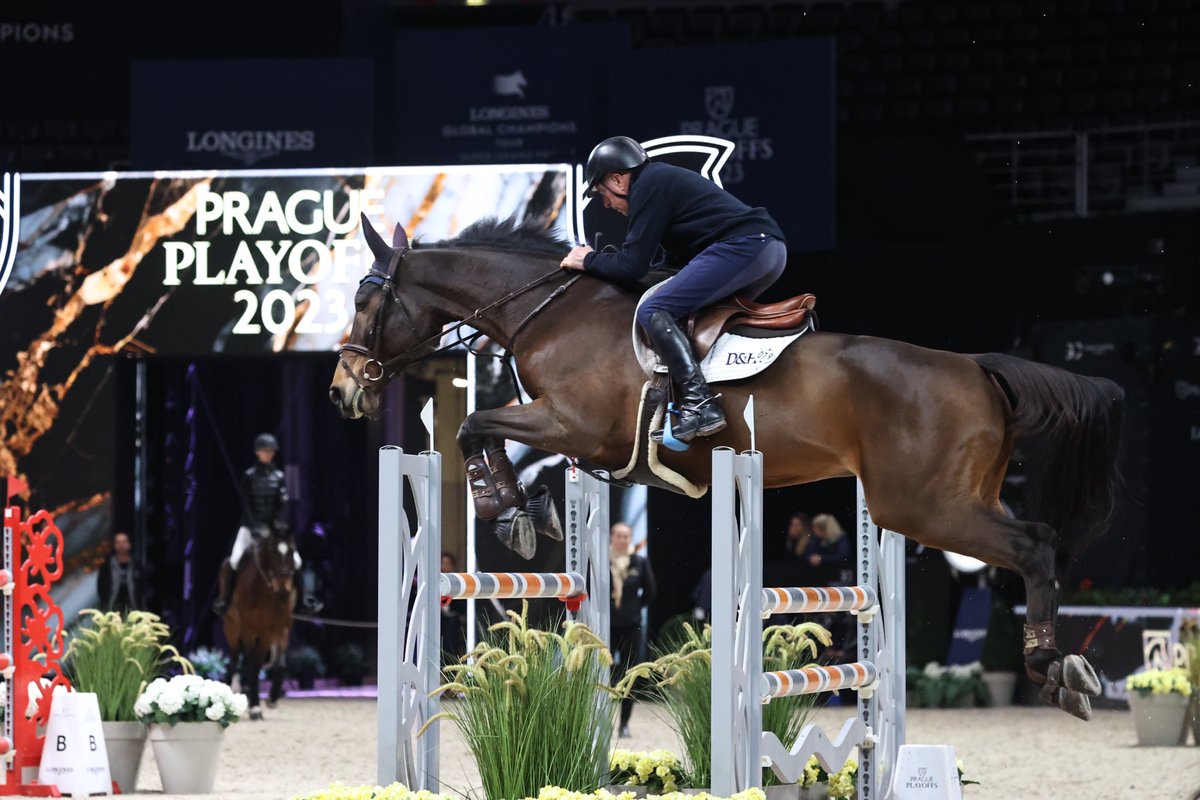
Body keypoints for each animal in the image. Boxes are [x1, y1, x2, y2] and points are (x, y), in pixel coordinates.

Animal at [222, 525, 296, 719]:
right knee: (234, 658)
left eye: (292, 552)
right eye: (272, 552)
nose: (283, 591)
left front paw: (272, 699)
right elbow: (251, 664)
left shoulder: (278, 630)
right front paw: (255, 707)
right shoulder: (250, 630)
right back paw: (233, 691)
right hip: (233, 629)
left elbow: (279, 665)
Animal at [331, 212, 1123, 719]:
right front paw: (533, 514)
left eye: (366, 297)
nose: (344, 389)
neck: (551, 311)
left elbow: (473, 424)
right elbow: (486, 432)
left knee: (1037, 546)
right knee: (1035, 546)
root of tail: (980, 369)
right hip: (945, 500)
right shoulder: (581, 443)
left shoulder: (574, 426)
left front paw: (508, 513)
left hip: (925, 507)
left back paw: (1056, 670)